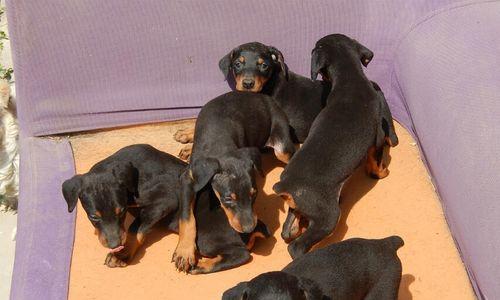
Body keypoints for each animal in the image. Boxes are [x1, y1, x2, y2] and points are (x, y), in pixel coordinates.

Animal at [61, 144, 270, 274]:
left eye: (121, 212)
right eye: (93, 217)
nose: (115, 245)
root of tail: (255, 228)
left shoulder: (166, 200)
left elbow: (137, 226)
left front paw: (122, 253)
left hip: (206, 237)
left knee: (241, 254)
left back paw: (201, 266)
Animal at [173, 91, 296, 272]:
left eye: (254, 194)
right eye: (228, 199)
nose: (248, 229)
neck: (221, 147)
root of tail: (263, 96)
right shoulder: (188, 179)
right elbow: (186, 217)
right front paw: (185, 252)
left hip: (281, 145)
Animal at [274, 34, 398, 258]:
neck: (350, 81)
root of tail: (285, 185)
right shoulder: (376, 138)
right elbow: (376, 162)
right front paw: (382, 173)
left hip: (299, 209)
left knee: (288, 232)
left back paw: (297, 228)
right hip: (329, 217)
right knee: (296, 247)